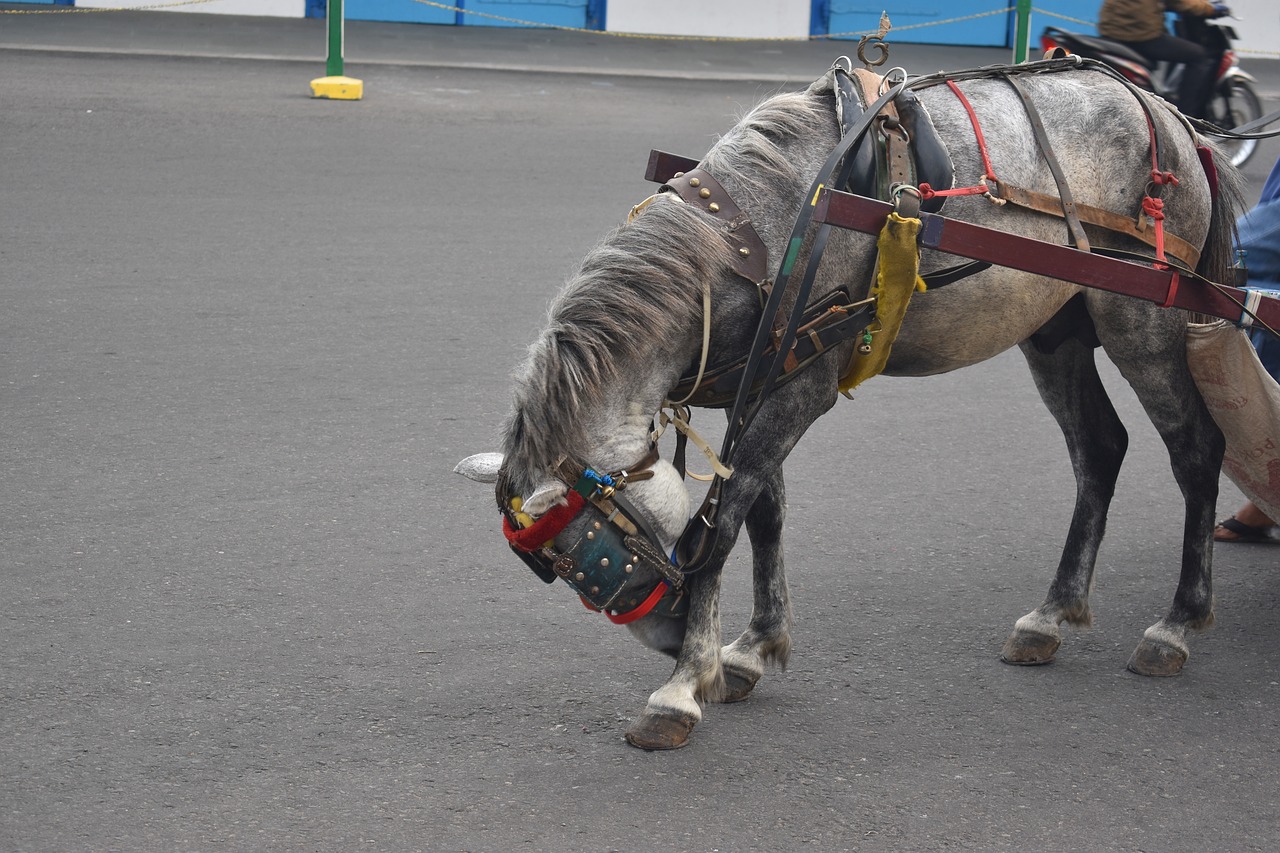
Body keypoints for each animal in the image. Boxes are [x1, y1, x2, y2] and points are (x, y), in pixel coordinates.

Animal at [455, 59, 1244, 747]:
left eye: (594, 552)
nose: (670, 636)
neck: (751, 237)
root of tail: (1172, 118)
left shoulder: (800, 391)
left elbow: (722, 524)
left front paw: (682, 687)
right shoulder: (768, 381)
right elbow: (765, 514)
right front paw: (750, 647)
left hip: (1144, 320)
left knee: (1196, 449)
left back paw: (1178, 622)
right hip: (1057, 328)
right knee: (1099, 448)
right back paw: (1050, 615)